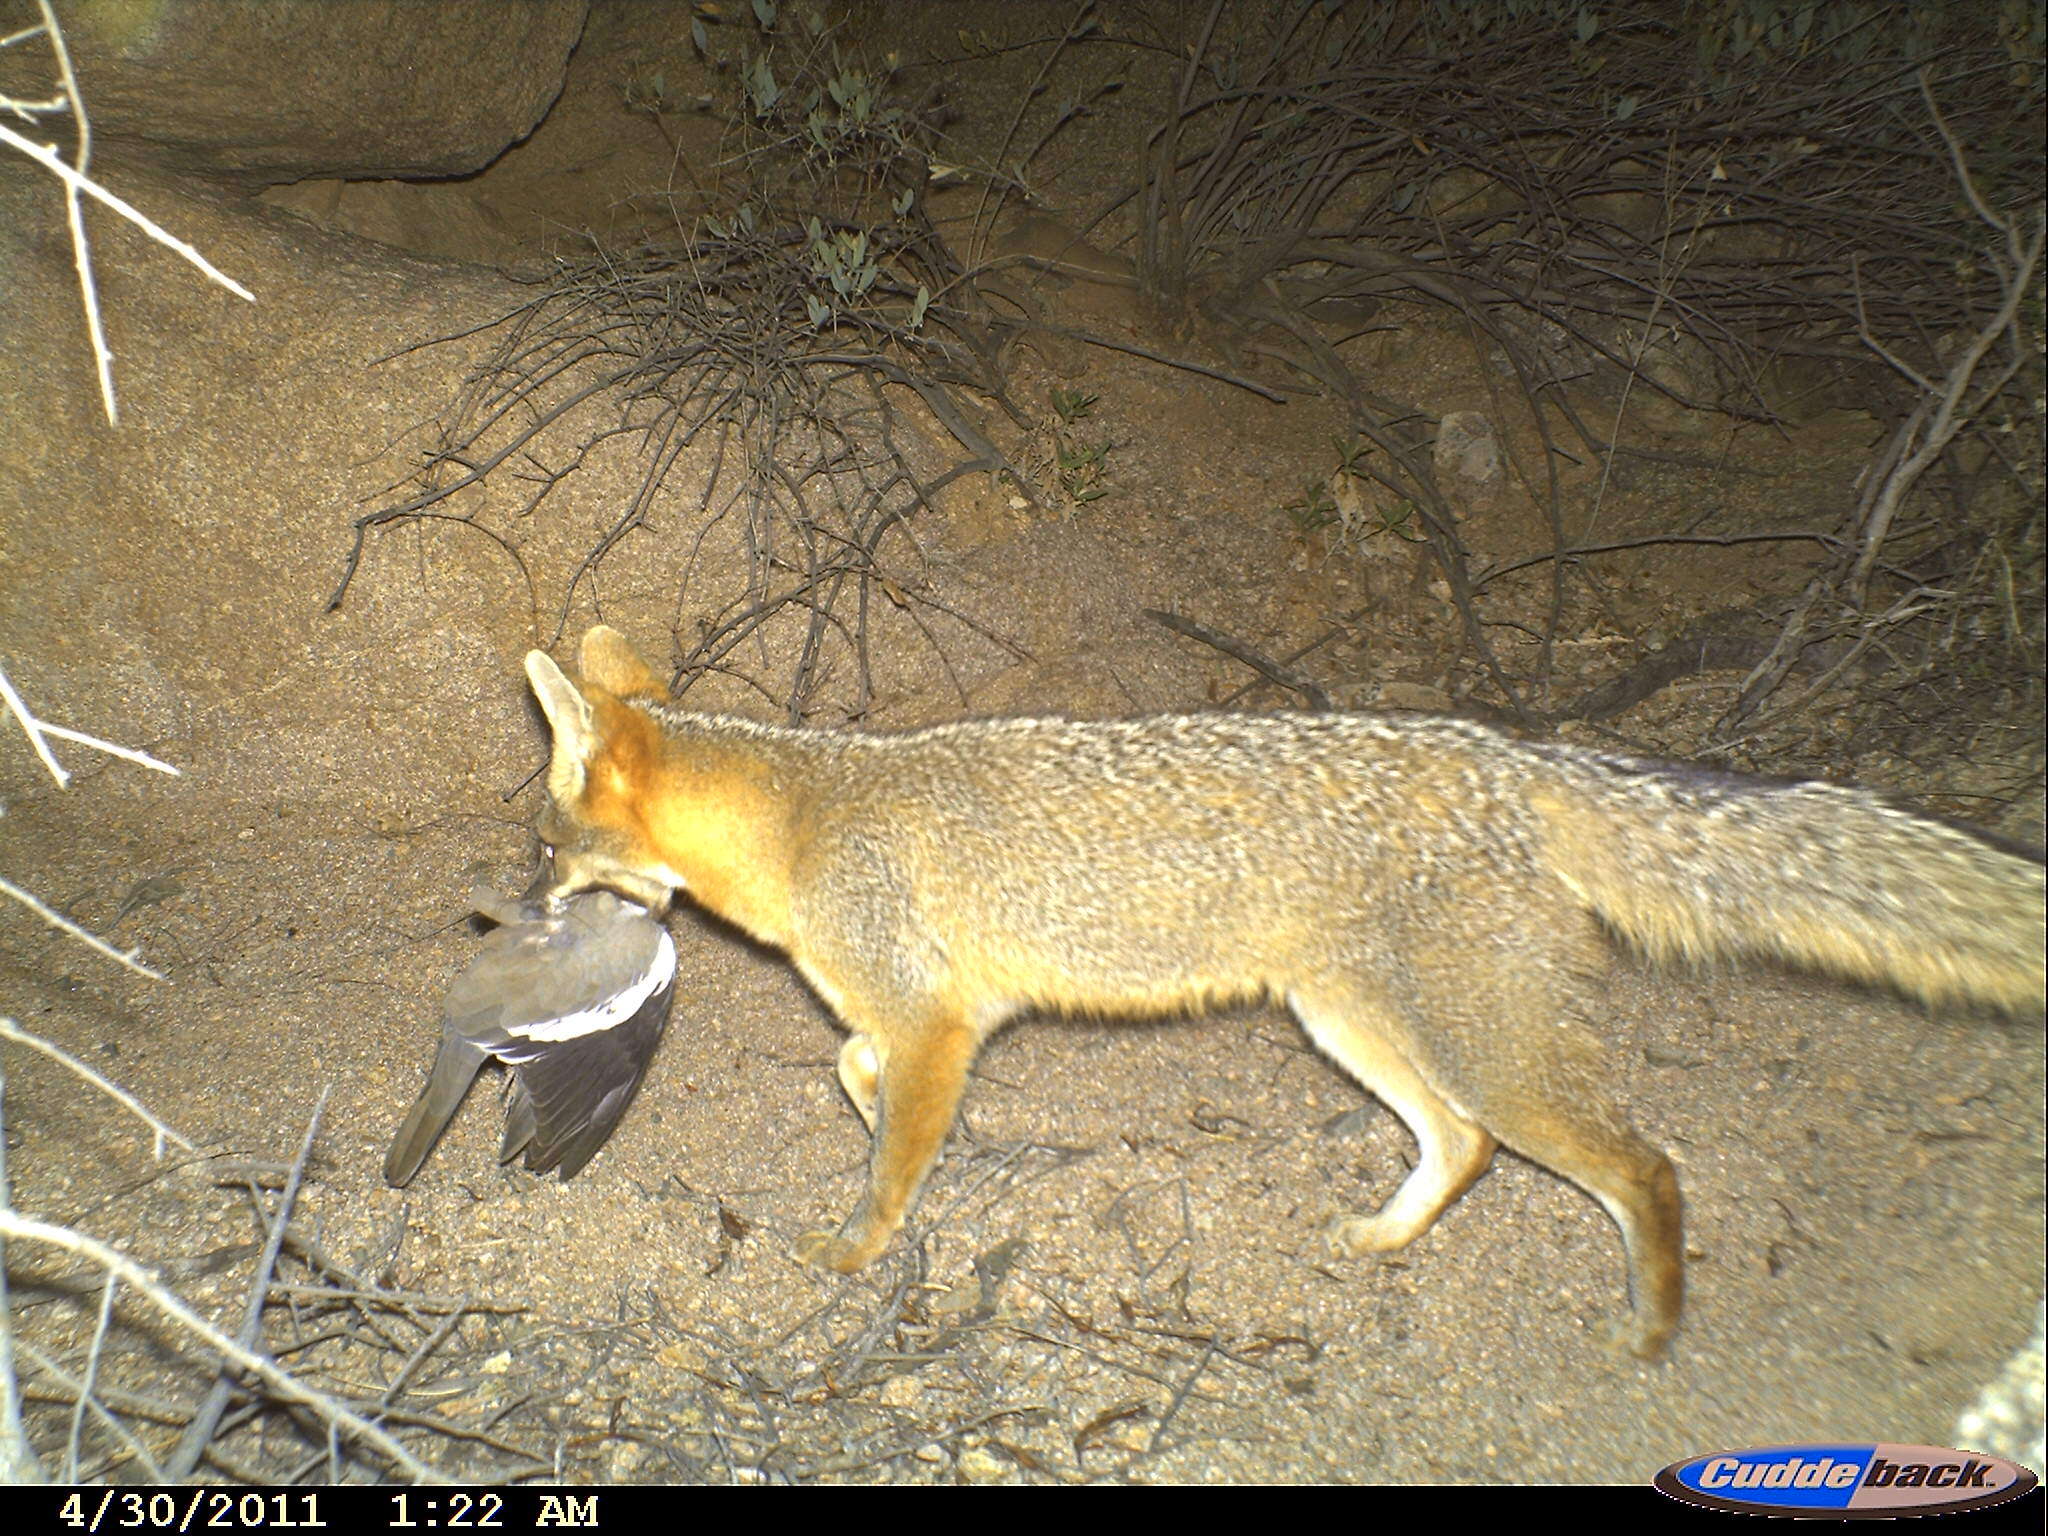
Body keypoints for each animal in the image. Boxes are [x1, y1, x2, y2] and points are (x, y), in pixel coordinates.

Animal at [520, 626, 2039, 1359]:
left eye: (543, 847)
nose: (515, 909)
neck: (804, 821)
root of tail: (1511, 754)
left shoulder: (937, 1022)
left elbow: (892, 1161)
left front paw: (851, 1257)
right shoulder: (923, 1021)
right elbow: (856, 1075)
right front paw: (860, 1123)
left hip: (1483, 1052)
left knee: (1646, 1169)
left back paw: (1652, 1331)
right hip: (1351, 1024)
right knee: (1462, 1148)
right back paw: (1382, 1238)